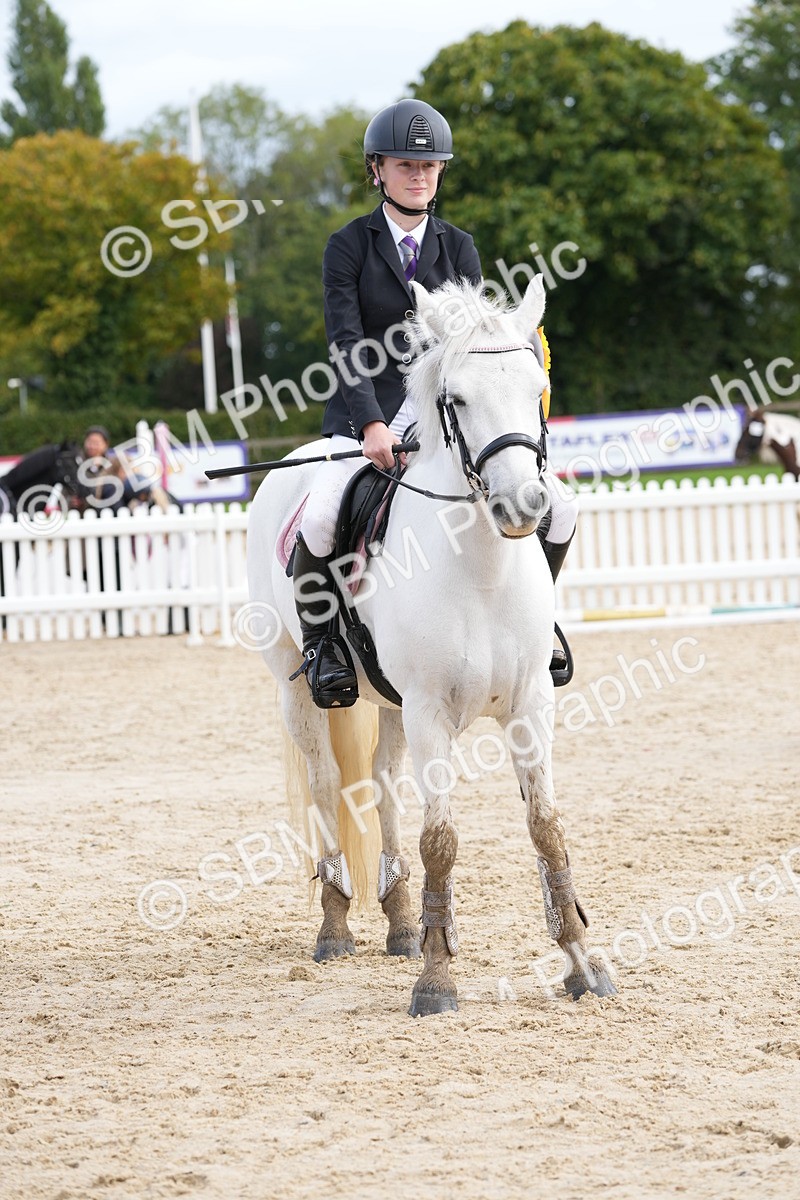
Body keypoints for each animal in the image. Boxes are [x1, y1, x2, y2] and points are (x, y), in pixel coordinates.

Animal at [247, 275, 616, 1015]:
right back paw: (336, 926)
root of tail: (292, 463)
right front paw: (437, 981)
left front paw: (581, 963)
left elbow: (547, 829)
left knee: (382, 787)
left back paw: (399, 922)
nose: (524, 505)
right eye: (459, 399)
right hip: (298, 687)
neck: (481, 568)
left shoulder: (529, 704)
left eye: (536, 388)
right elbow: (441, 839)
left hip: (390, 705)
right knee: (328, 786)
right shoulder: (430, 710)